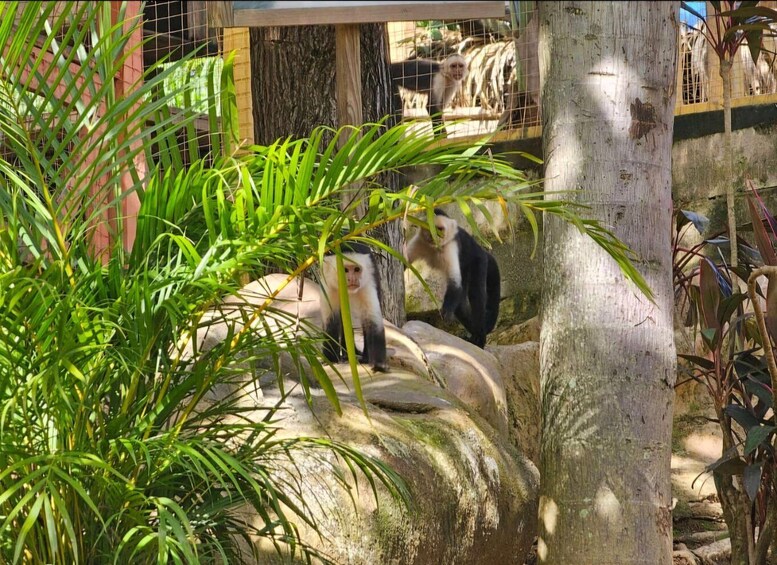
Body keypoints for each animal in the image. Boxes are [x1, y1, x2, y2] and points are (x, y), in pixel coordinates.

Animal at [319, 241, 389, 372]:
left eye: (356, 269)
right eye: (345, 270)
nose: (352, 279)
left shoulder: (367, 282)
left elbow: (373, 322)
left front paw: (379, 364)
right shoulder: (328, 284)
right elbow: (331, 321)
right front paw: (330, 359)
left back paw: (364, 357)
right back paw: (347, 354)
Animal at [405, 209, 500, 348]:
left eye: (439, 229)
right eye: (429, 228)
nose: (434, 236)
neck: (434, 247)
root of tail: (483, 251)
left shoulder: (451, 245)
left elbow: (455, 284)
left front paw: (446, 312)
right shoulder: (419, 242)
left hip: (478, 260)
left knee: (476, 296)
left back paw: (480, 337)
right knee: (461, 305)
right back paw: (474, 335)